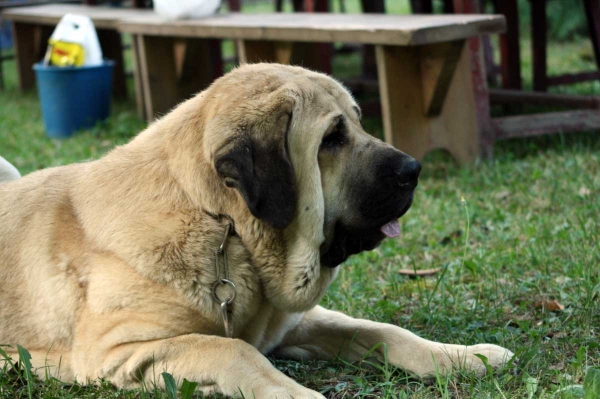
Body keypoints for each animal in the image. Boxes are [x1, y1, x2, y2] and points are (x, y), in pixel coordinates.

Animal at [1, 64, 510, 398]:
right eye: (332, 139)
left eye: (360, 122)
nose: (414, 169)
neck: (221, 224)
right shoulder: (117, 350)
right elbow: (232, 351)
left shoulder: (293, 322)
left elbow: (382, 331)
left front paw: (464, 356)